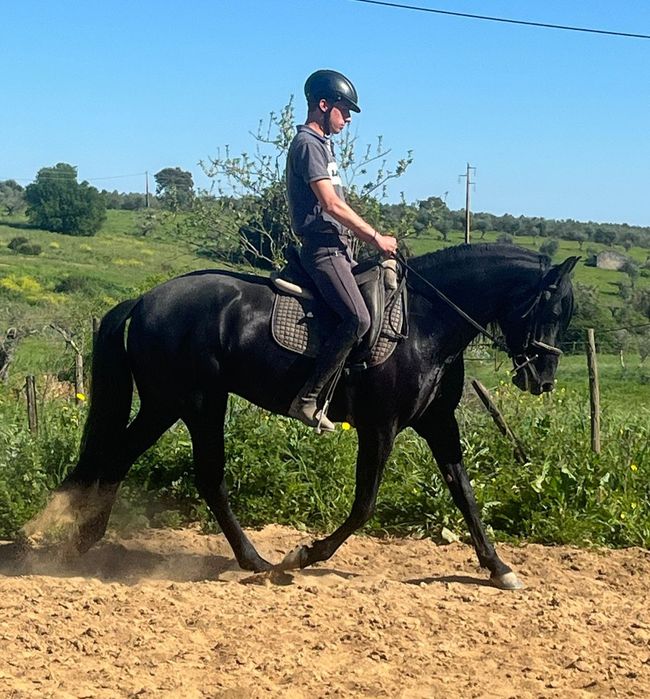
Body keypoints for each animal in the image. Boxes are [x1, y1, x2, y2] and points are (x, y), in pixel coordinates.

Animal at [22, 243, 578, 589]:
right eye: (551, 311)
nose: (544, 380)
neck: (426, 323)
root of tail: (145, 299)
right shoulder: (380, 428)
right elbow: (363, 507)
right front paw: (304, 555)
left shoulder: (439, 424)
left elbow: (464, 493)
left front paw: (499, 568)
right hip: (198, 402)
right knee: (207, 476)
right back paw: (256, 561)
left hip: (165, 404)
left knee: (119, 456)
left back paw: (84, 540)